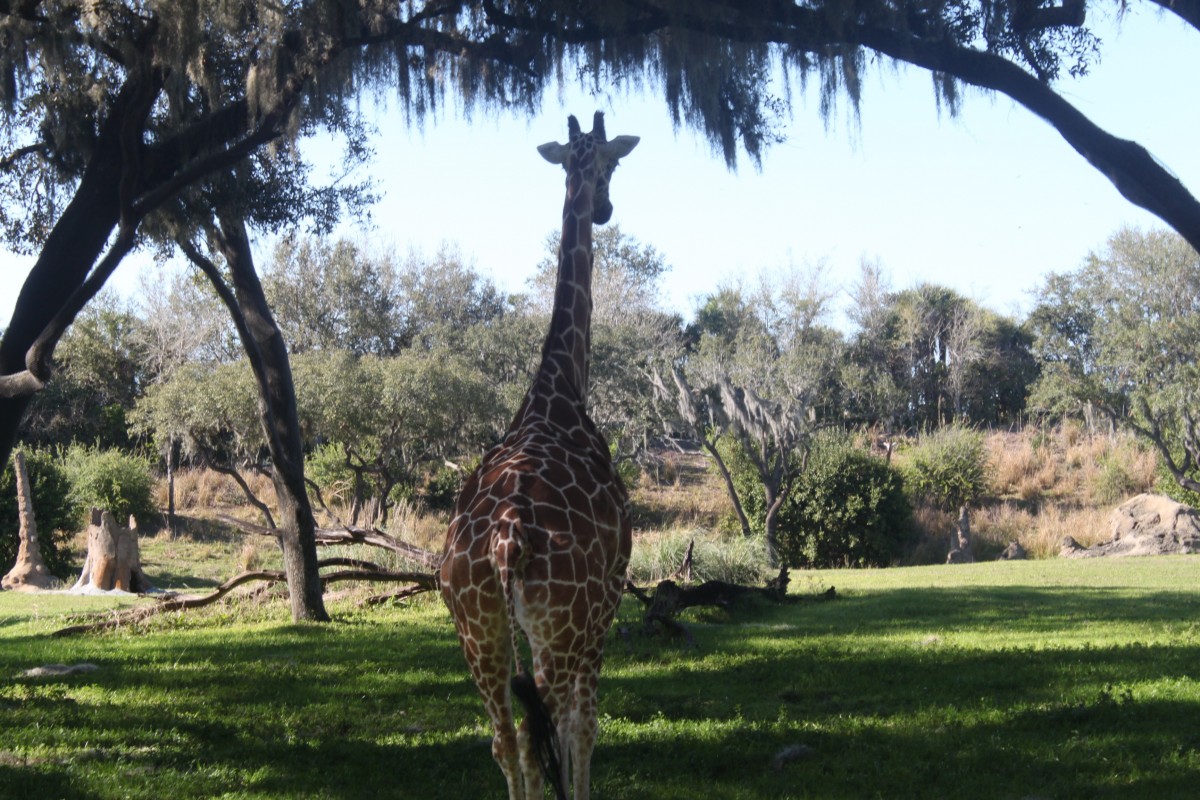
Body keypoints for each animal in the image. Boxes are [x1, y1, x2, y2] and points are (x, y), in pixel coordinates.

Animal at [441, 112, 643, 800]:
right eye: (611, 163)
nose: (604, 208)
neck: (559, 388)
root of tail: (505, 545)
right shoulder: (606, 605)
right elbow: (586, 726)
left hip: (478, 630)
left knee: (505, 740)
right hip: (559, 629)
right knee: (550, 728)